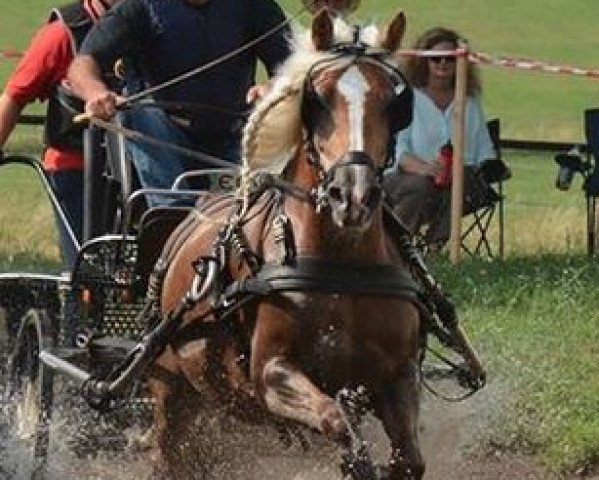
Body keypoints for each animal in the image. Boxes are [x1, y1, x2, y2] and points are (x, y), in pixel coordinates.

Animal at [145, 11, 426, 480]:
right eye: (318, 99)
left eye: (394, 104)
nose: (353, 195)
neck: (341, 267)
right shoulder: (272, 374)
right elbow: (335, 418)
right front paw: (353, 456)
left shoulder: (398, 375)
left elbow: (408, 459)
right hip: (170, 387)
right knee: (168, 450)